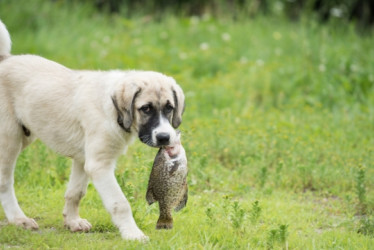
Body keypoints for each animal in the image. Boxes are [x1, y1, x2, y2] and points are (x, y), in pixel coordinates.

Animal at [0, 20, 184, 240]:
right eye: (146, 109)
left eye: (169, 107)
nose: (165, 137)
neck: (114, 112)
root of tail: (4, 60)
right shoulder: (99, 164)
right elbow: (120, 203)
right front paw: (133, 234)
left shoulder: (83, 159)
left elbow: (76, 192)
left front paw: (72, 221)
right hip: (9, 139)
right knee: (5, 182)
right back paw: (18, 219)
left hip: (25, 135)